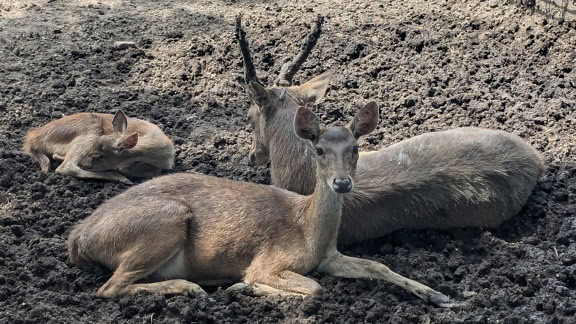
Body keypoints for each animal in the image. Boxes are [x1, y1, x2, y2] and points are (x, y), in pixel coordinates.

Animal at [22, 109, 174, 184]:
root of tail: (32, 139)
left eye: (98, 156)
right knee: (66, 166)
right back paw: (119, 178)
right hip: (90, 130)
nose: (85, 163)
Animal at [66, 102, 460, 308]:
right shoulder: (268, 260)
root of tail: (77, 239)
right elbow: (313, 288)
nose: (342, 182)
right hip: (165, 220)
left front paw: (440, 295)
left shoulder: (329, 256)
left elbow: (378, 265)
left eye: (355, 148)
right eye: (318, 150)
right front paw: (243, 287)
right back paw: (190, 287)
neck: (309, 232)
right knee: (109, 287)